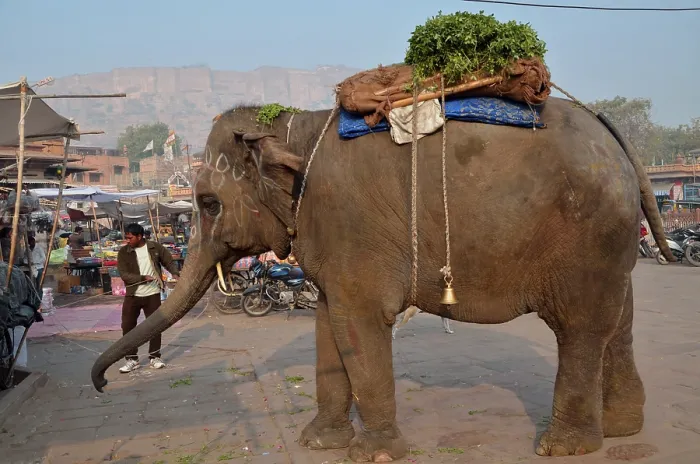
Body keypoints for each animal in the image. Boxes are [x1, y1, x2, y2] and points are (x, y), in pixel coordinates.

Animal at [92, 96, 673, 462]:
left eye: (210, 204)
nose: (100, 384)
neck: (296, 126)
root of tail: (614, 138)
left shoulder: (351, 228)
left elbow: (358, 323)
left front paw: (373, 454)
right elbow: (328, 323)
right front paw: (318, 443)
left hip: (587, 233)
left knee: (580, 329)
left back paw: (564, 447)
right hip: (609, 241)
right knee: (617, 324)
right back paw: (620, 428)